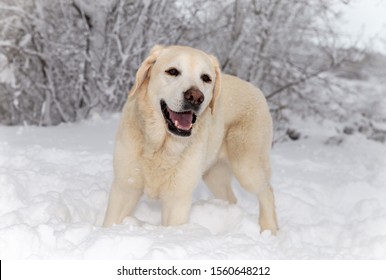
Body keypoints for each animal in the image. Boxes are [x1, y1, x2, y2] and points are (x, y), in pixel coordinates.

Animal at [102, 45, 278, 234]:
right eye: (172, 71)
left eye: (206, 78)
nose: (195, 97)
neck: (160, 145)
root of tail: (257, 90)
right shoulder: (125, 187)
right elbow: (110, 223)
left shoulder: (177, 198)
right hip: (214, 175)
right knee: (232, 197)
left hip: (247, 167)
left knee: (267, 191)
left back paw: (269, 230)